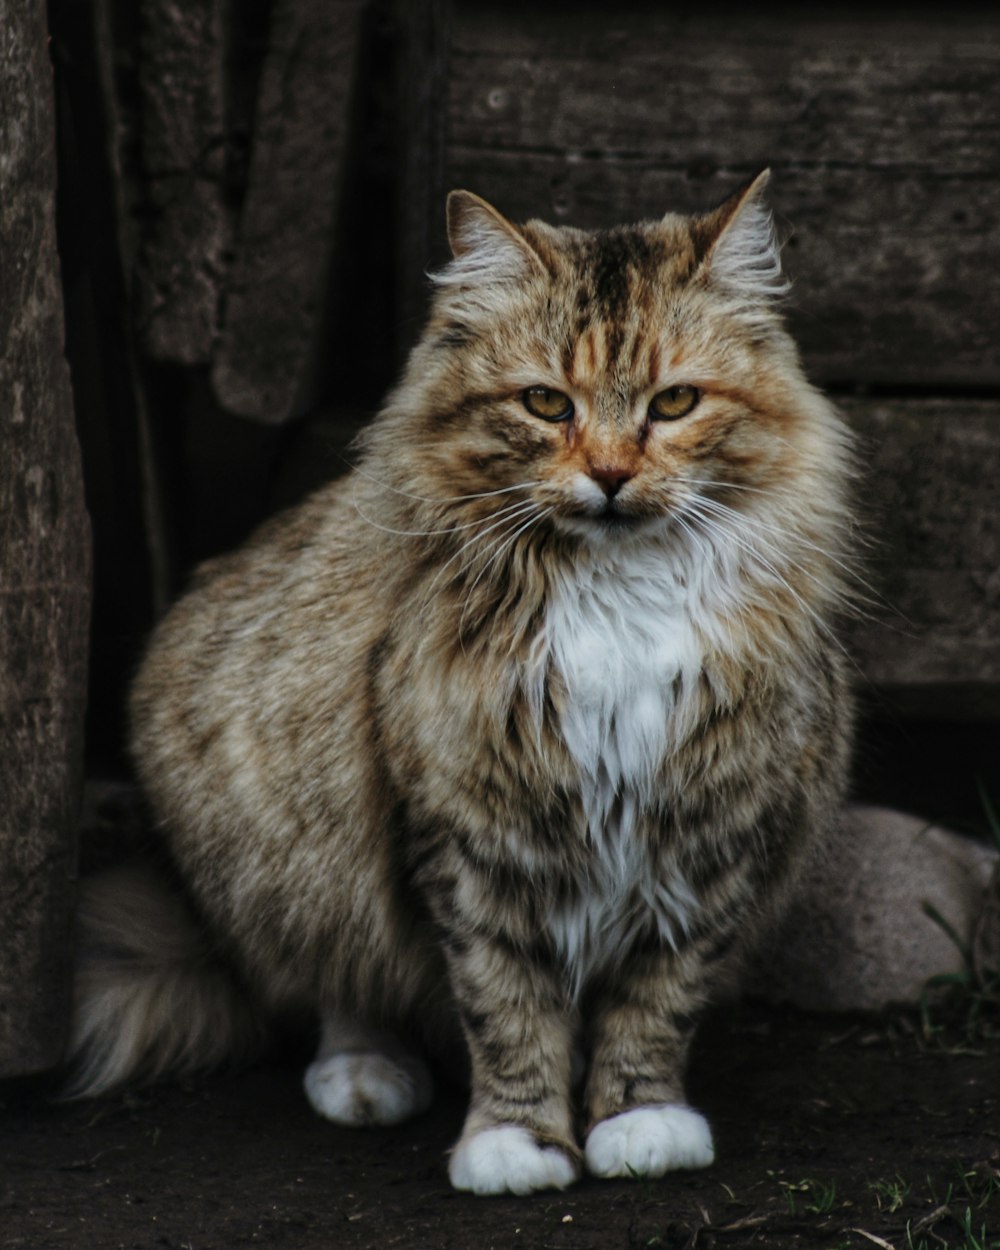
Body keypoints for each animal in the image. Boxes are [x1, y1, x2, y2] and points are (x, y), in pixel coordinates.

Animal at [68, 171, 850, 1195]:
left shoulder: (711, 830)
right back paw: (367, 1078)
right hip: (286, 850)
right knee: (338, 985)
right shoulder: (468, 833)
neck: (618, 597)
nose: (609, 475)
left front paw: (639, 1122)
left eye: (676, 402)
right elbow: (506, 1004)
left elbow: (657, 1001)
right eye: (547, 405)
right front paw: (516, 1144)